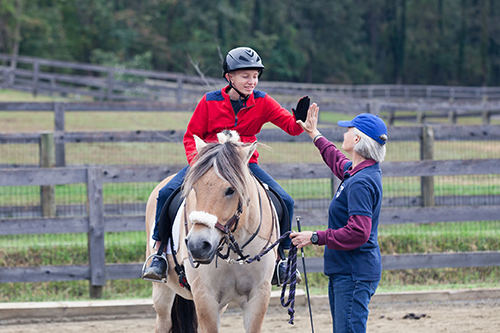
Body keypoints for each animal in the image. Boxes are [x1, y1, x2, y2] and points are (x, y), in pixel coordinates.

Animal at [145, 130, 280, 332]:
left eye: (231, 190)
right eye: (194, 188)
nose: (197, 245)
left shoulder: (259, 296)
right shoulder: (205, 296)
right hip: (163, 291)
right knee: (163, 321)